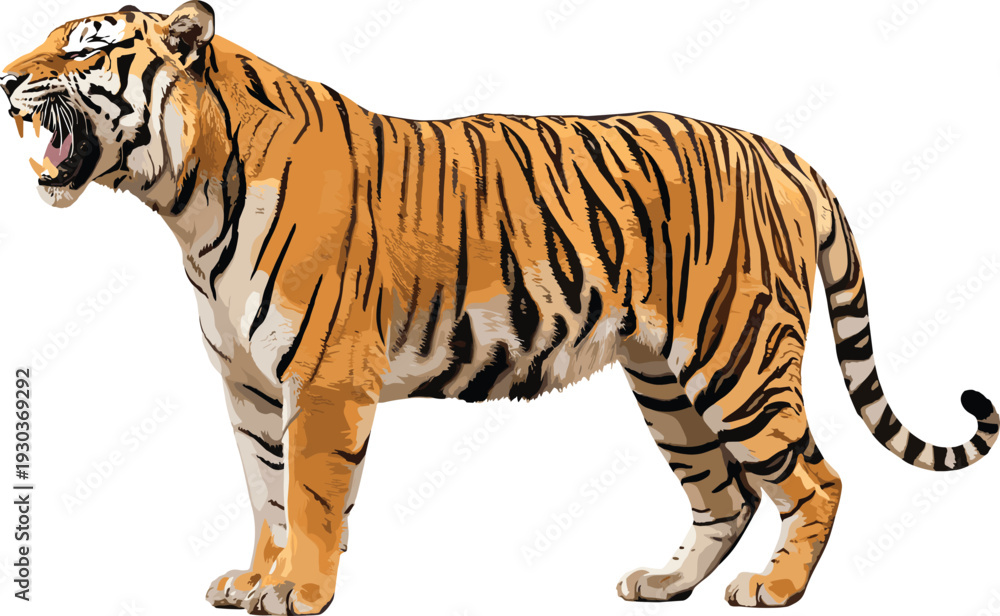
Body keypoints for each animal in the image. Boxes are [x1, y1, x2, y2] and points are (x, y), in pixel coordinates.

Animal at [2, 2, 996, 614]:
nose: (8, 81)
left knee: (814, 479)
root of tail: (780, 150)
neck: (187, 199)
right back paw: (664, 582)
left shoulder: (322, 383)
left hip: (736, 357)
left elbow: (312, 500)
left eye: (84, 47)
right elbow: (264, 495)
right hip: (665, 381)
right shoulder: (248, 387)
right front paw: (254, 580)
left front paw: (300, 592)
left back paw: (775, 590)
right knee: (725, 492)